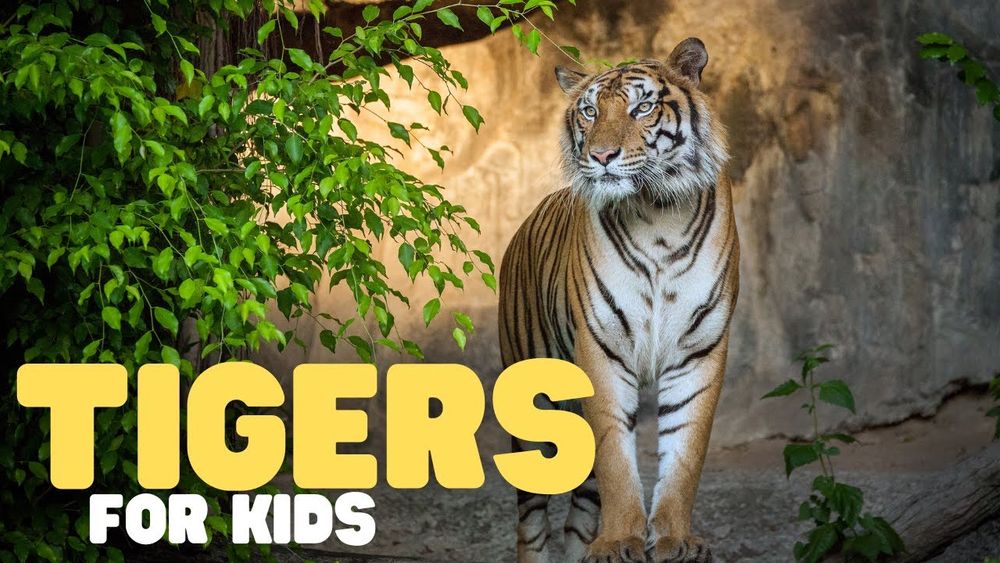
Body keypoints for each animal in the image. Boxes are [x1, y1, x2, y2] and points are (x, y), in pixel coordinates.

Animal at [497, 38, 739, 563]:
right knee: (531, 515)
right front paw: (621, 539)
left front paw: (674, 539)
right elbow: (615, 455)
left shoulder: (700, 350)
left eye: (642, 107)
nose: (602, 154)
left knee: (580, 508)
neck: (658, 215)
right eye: (589, 111)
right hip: (531, 403)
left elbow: (685, 452)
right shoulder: (601, 347)